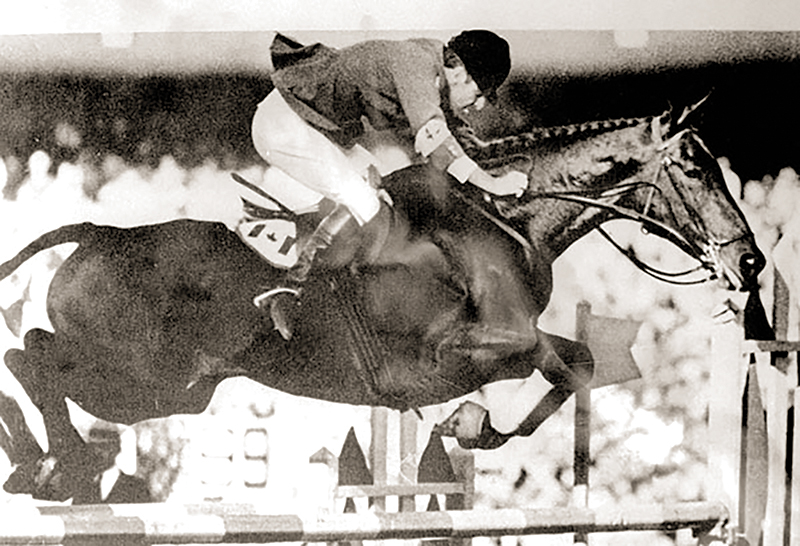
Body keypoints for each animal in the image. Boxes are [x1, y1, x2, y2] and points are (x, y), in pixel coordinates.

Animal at [0, 105, 765, 501]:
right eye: (694, 167)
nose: (751, 261)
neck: (504, 218)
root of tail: (98, 231)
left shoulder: (518, 339)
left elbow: (573, 363)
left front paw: (473, 430)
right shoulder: (449, 351)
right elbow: (537, 358)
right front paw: (469, 422)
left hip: (175, 392)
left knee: (27, 356)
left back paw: (41, 464)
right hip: (144, 381)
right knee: (32, 356)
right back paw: (59, 465)